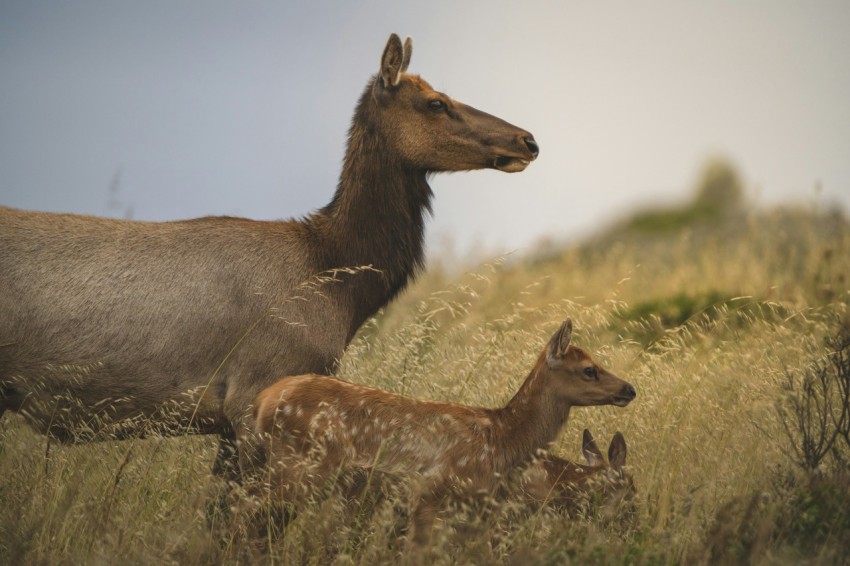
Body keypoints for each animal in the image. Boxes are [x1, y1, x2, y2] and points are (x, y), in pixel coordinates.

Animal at [251, 318, 636, 548]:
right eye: (589, 369)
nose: (629, 388)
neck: (501, 441)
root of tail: (262, 401)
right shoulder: (428, 494)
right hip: (297, 468)